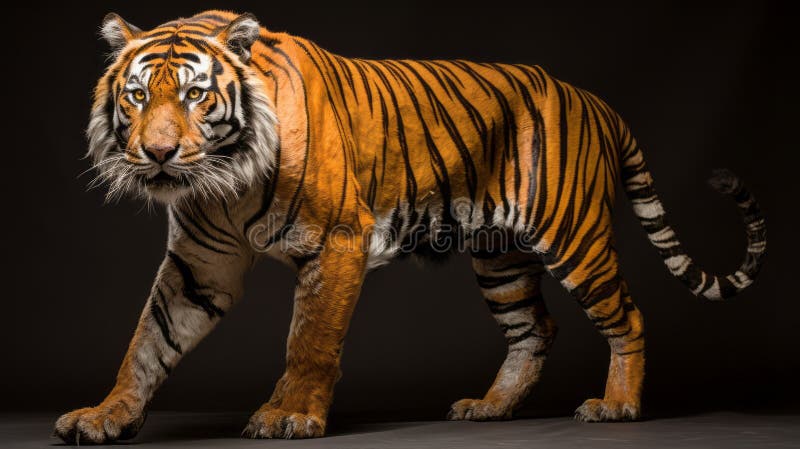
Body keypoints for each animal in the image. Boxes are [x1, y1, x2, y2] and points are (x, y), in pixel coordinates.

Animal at [54, 10, 766, 443]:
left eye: (196, 95)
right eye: (137, 96)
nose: (158, 154)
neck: (225, 179)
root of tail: (595, 100)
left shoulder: (338, 241)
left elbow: (309, 342)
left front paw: (289, 415)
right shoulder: (201, 264)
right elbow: (147, 343)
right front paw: (105, 416)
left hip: (575, 238)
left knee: (628, 316)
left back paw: (617, 405)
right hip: (500, 257)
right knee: (534, 329)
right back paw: (490, 408)